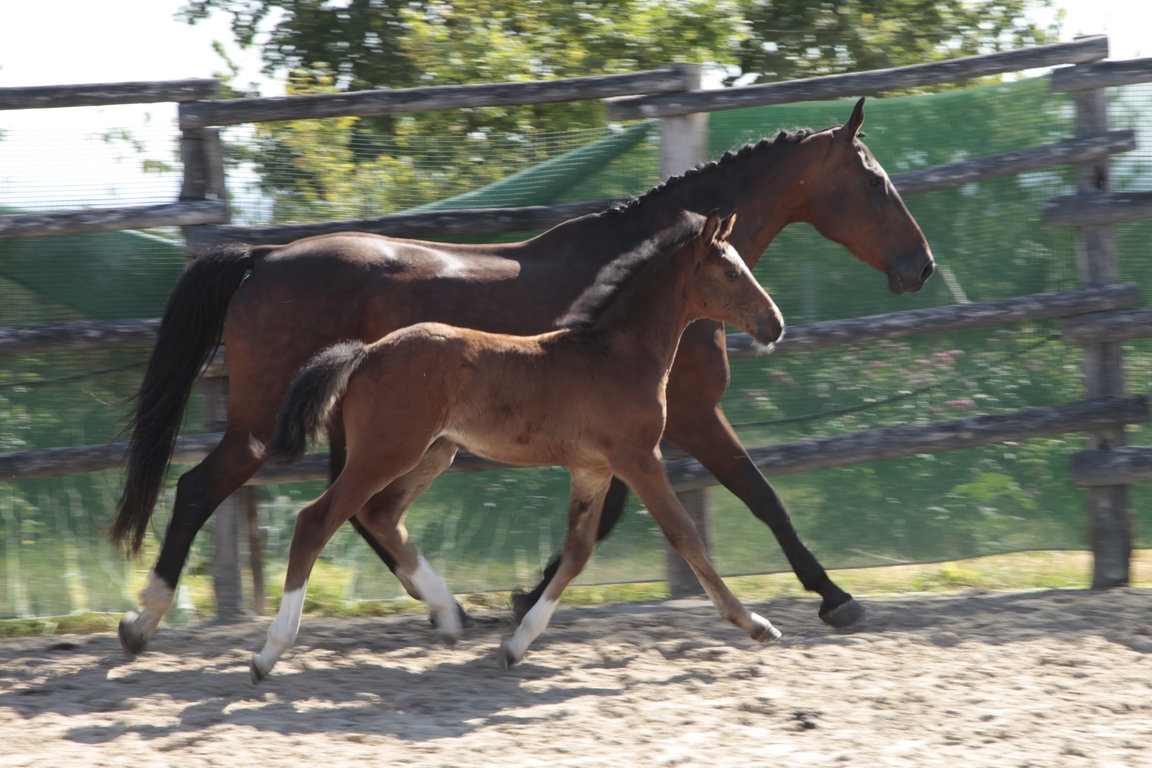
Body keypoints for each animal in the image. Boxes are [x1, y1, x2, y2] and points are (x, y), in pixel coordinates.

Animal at [253, 208, 787, 677]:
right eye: (731, 272)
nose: (775, 324)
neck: (615, 355)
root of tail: (365, 353)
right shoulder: (638, 458)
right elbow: (684, 534)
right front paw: (756, 624)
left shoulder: (593, 468)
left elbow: (577, 551)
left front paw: (516, 645)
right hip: (387, 451)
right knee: (317, 520)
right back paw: (270, 652)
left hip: (433, 451)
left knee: (379, 515)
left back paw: (448, 615)